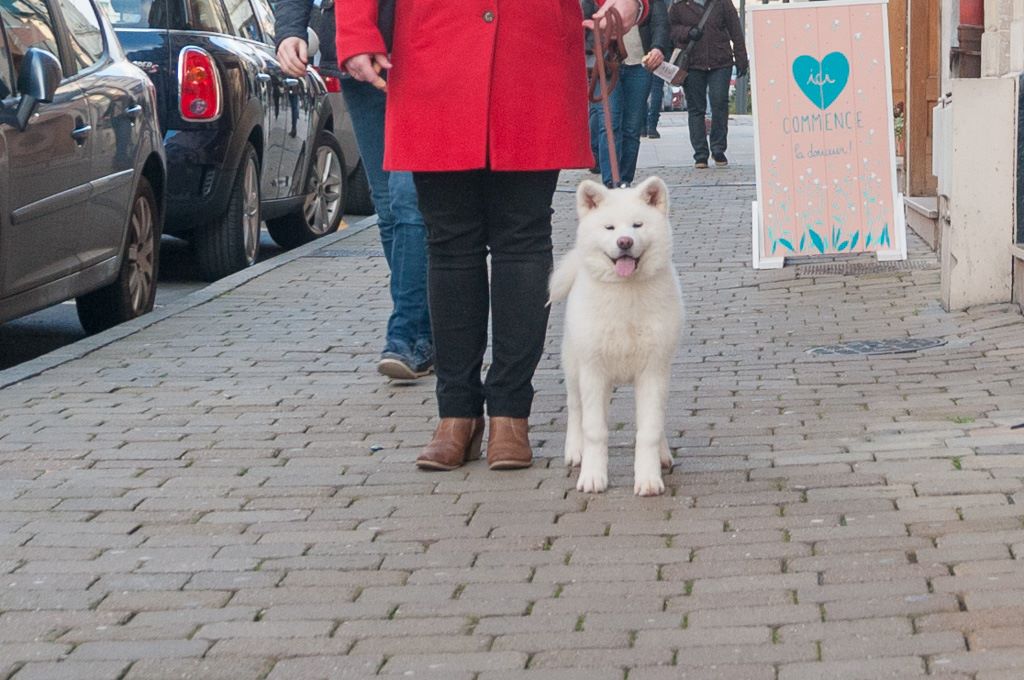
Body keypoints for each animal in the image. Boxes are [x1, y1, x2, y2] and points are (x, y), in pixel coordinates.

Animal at [548, 178, 684, 497]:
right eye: (609, 228)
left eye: (637, 225)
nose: (625, 242)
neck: (626, 294)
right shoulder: (594, 371)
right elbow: (595, 430)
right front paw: (593, 477)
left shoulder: (652, 370)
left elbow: (649, 429)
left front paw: (648, 479)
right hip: (574, 367)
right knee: (575, 408)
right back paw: (575, 451)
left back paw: (663, 454)